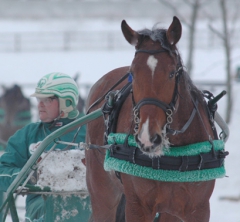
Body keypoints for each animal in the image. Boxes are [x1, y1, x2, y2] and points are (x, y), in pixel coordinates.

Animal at [85, 17, 227, 222]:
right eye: (132, 74)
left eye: (171, 73)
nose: (148, 137)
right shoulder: (138, 207)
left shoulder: (198, 209)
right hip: (102, 192)